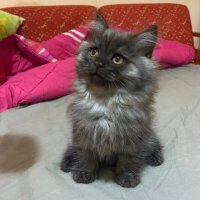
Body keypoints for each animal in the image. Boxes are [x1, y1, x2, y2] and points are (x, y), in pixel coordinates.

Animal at [61, 14, 164, 188]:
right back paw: (67, 162)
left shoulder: (133, 138)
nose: (98, 64)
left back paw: (155, 157)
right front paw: (84, 173)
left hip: (148, 133)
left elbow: (128, 160)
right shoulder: (84, 132)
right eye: (94, 52)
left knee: (153, 142)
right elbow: (86, 157)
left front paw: (127, 177)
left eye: (117, 59)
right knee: (72, 149)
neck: (105, 101)